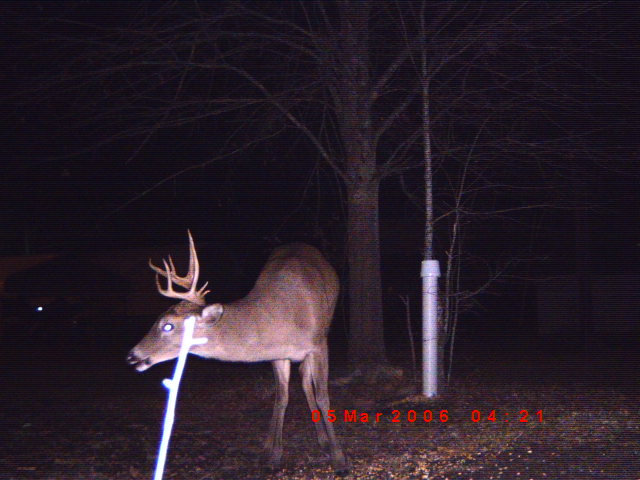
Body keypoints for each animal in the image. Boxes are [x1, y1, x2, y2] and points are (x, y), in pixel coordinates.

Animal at [126, 232, 348, 473]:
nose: (132, 355)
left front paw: (339, 458)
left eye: (167, 325)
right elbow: (281, 397)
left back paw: (324, 441)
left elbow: (323, 397)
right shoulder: (278, 354)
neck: (280, 320)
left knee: (309, 384)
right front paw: (273, 455)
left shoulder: (318, 345)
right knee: (302, 382)